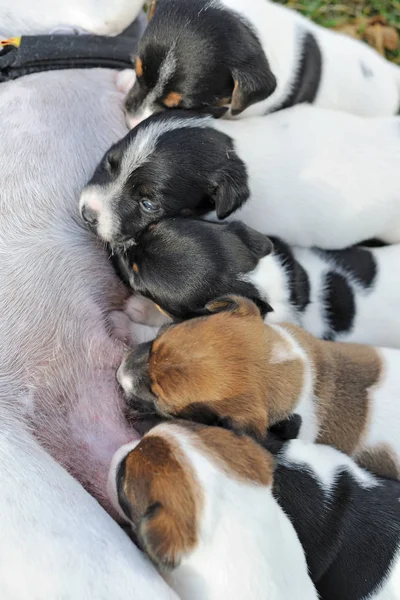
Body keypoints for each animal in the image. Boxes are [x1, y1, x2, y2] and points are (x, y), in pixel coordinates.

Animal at [111, 218, 400, 350]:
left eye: (138, 278)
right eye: (149, 227)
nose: (117, 245)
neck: (261, 283)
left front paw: (126, 324)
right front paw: (142, 309)